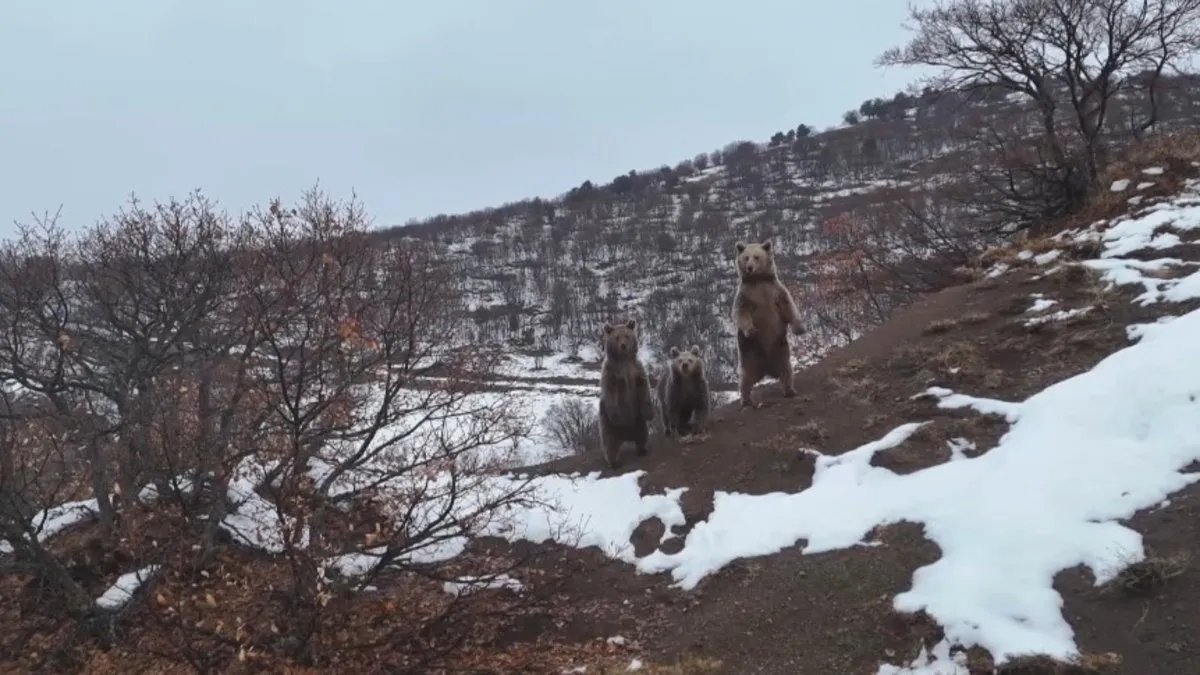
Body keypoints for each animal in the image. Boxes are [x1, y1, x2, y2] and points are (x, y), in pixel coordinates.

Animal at [597, 317, 657, 466]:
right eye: (617, 337)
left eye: (627, 335)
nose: (623, 345)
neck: (623, 361)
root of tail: (625, 437)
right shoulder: (611, 374)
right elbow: (611, 392)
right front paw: (616, 416)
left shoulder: (637, 370)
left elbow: (644, 388)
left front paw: (650, 413)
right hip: (607, 425)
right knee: (609, 444)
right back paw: (613, 462)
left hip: (638, 421)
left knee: (642, 435)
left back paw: (642, 450)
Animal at [729, 239, 806, 408]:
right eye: (746, 258)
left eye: (756, 257)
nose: (750, 268)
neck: (758, 280)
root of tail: (767, 369)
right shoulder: (746, 295)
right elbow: (741, 313)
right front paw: (752, 330)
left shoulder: (775, 290)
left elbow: (788, 305)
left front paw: (800, 328)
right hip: (749, 355)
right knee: (745, 379)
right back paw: (746, 400)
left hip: (780, 350)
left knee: (787, 370)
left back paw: (790, 390)